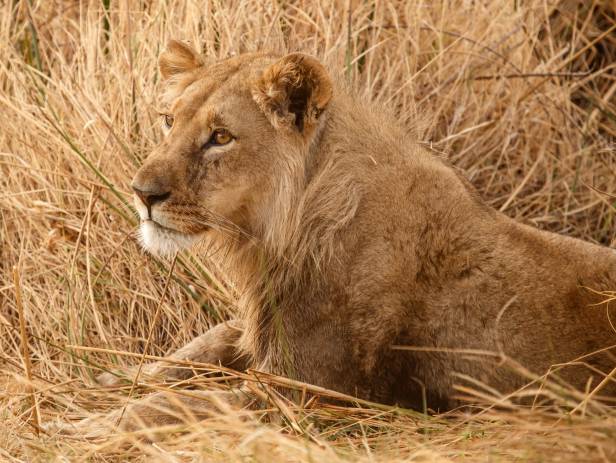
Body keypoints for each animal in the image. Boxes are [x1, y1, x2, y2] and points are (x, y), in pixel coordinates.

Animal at [95, 40, 612, 428]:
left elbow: (173, 407)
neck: (273, 235)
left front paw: (93, 425)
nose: (142, 193)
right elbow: (204, 342)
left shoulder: (294, 390)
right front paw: (116, 376)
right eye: (169, 120)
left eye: (221, 136)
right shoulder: (262, 331)